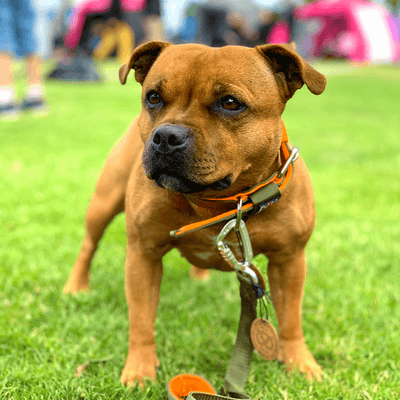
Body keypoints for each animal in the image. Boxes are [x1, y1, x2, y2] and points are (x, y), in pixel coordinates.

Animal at [63, 40, 324, 384]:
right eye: (153, 97)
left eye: (230, 103)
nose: (166, 136)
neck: (216, 201)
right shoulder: (143, 256)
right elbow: (141, 319)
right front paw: (140, 370)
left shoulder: (289, 259)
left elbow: (291, 317)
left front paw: (299, 362)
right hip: (103, 203)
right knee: (89, 245)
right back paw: (76, 286)